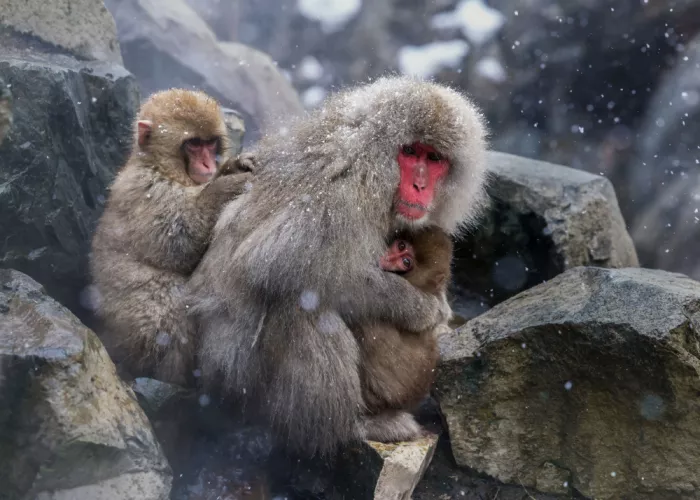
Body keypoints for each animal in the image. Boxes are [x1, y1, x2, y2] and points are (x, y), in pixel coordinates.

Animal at [90, 88, 254, 386]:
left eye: (210, 143)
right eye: (194, 144)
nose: (208, 163)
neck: (161, 167)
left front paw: (232, 166)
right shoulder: (148, 190)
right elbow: (176, 244)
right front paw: (223, 187)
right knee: (165, 302)